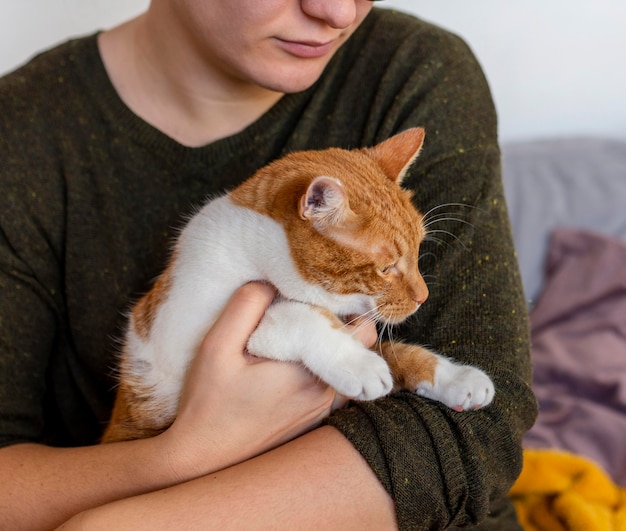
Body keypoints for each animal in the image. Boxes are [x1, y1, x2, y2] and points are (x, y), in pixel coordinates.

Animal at [101, 127, 492, 442]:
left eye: (417, 251)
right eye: (386, 268)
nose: (423, 297)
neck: (255, 258)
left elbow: (399, 352)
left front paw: (456, 378)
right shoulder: (182, 340)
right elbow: (293, 313)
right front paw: (356, 362)